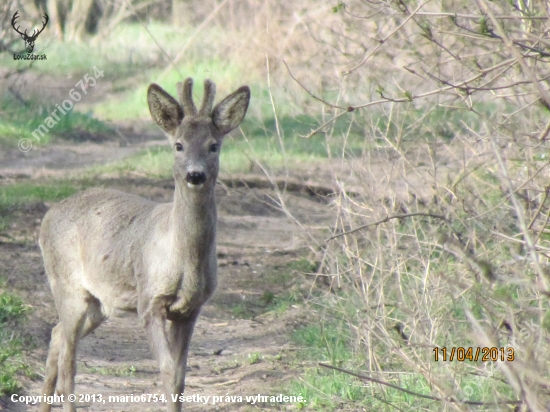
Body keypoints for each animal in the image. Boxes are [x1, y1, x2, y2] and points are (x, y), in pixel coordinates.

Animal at [39, 78, 252, 412]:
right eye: (178, 145)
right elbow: (166, 370)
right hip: (66, 285)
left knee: (57, 334)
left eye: (213, 146)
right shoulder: (149, 300)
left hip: (100, 302)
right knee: (68, 358)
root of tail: (47, 217)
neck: (183, 257)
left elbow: (179, 376)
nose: (195, 174)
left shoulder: (190, 309)